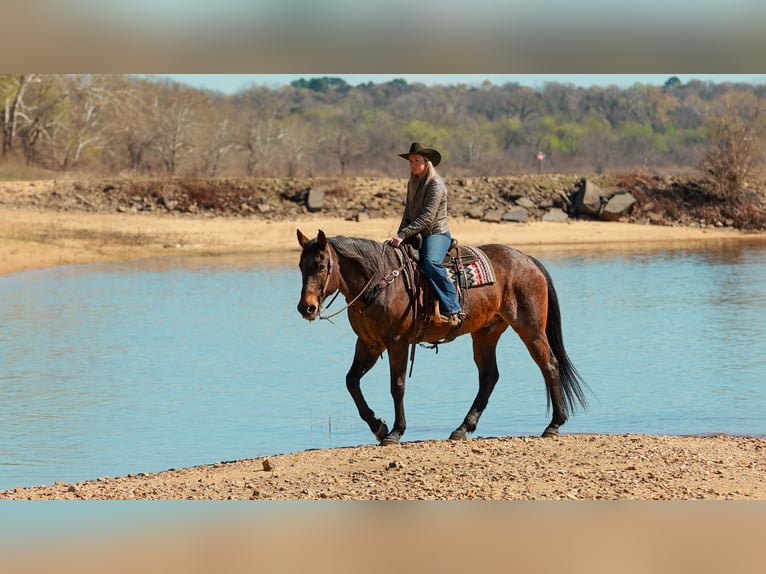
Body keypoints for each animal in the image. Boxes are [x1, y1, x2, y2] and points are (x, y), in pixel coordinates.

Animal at [296, 229, 588, 445]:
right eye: (301, 266)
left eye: (321, 265)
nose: (306, 308)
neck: (380, 281)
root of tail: (527, 259)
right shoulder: (369, 344)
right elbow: (352, 382)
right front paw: (378, 426)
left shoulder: (397, 342)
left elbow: (397, 385)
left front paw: (395, 431)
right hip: (486, 333)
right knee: (489, 376)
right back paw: (463, 427)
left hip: (531, 329)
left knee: (549, 365)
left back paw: (554, 424)